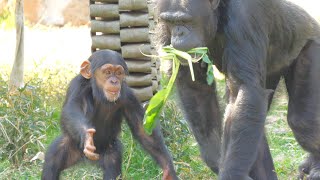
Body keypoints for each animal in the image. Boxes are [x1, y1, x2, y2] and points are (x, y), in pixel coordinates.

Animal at [41, 49, 178, 180]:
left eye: (118, 73)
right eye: (107, 72)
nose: (114, 81)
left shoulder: (128, 96)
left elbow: (141, 129)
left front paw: (168, 169)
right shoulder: (77, 86)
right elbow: (72, 109)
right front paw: (87, 137)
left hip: (110, 152)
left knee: (112, 169)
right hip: (71, 146)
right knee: (52, 161)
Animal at [155, 0, 320, 179]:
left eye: (185, 20)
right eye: (171, 22)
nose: (178, 33)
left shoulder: (243, 18)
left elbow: (244, 89)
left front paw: (231, 174)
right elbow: (194, 85)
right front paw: (215, 156)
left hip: (313, 48)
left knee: (303, 122)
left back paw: (314, 166)